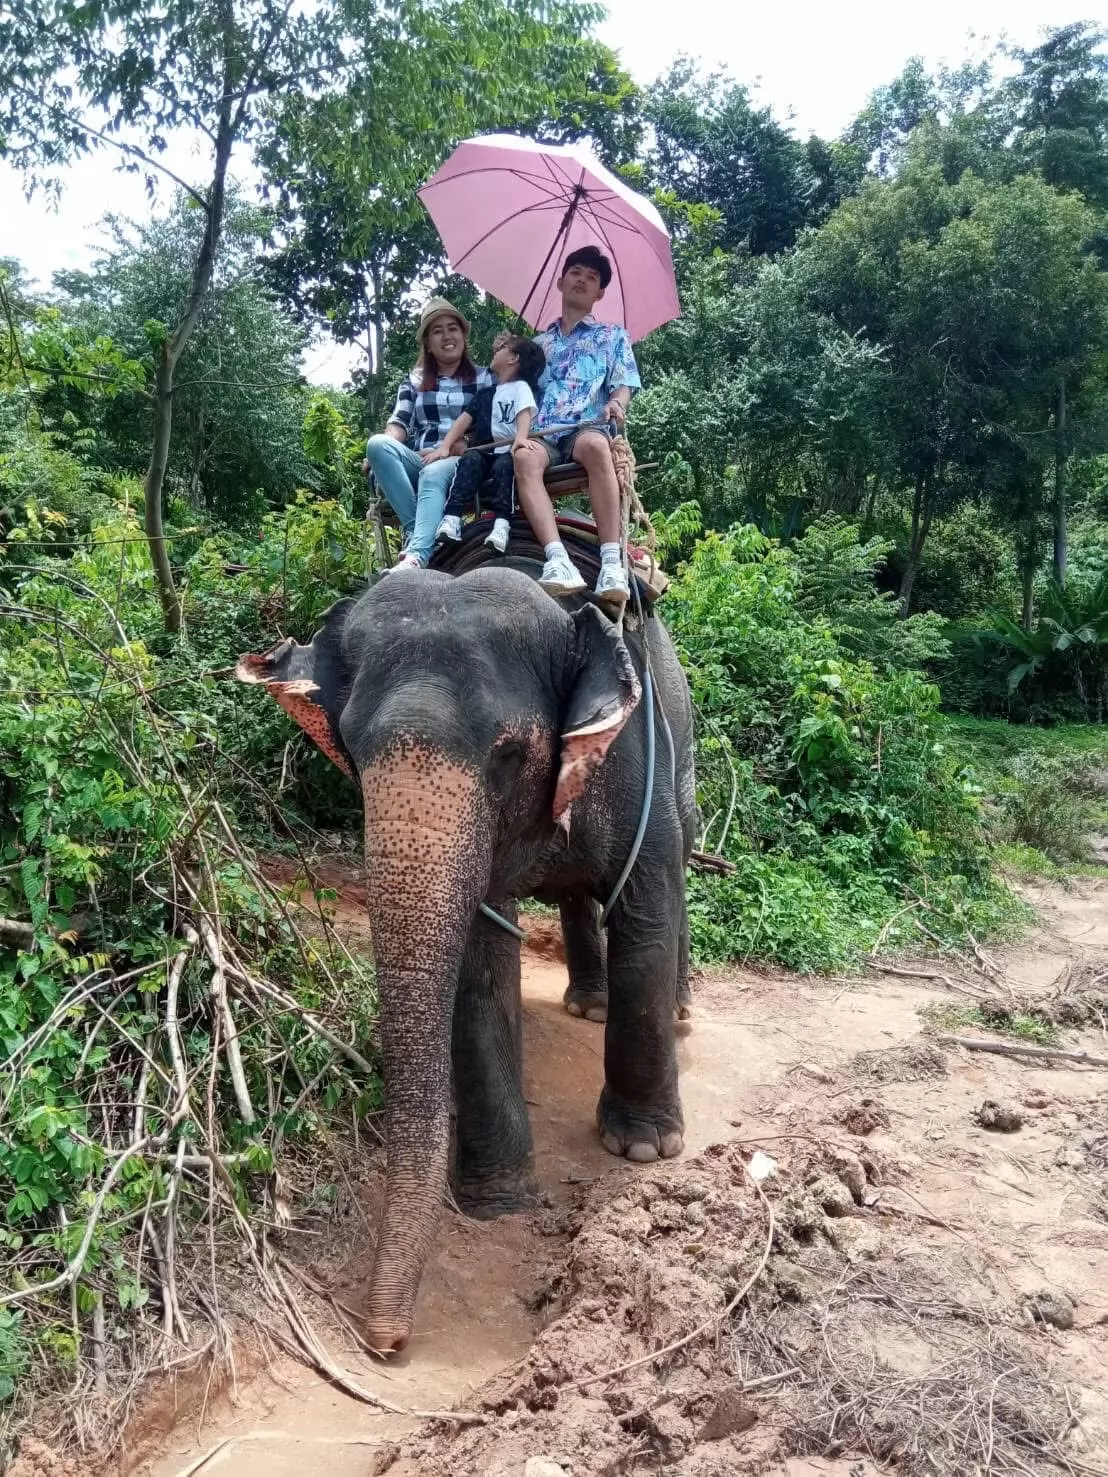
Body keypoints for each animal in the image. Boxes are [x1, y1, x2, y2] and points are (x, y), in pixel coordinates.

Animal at [236, 560, 696, 1353]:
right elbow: (482, 959)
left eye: (506, 755)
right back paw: (587, 1002)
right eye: (351, 749)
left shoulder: (636, 757)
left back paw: (679, 1006)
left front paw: (642, 1149)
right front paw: (496, 1202)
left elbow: (646, 906)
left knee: (684, 862)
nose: (383, 1341)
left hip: (683, 734)